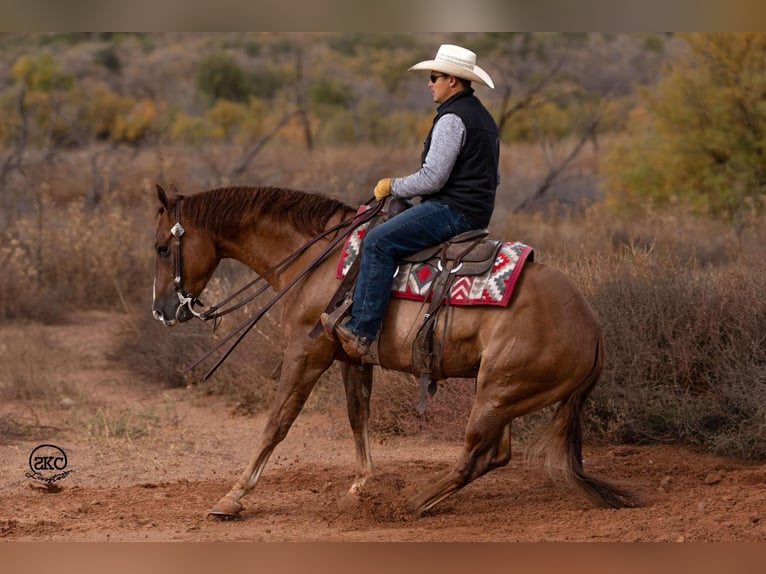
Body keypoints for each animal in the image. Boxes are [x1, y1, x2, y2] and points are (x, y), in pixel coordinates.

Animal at [152, 187, 636, 520]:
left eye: (161, 247)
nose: (162, 311)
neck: (317, 259)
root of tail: (594, 330)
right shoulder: (352, 358)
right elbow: (357, 416)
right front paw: (362, 486)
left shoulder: (306, 352)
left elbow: (277, 423)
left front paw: (232, 497)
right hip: (505, 396)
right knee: (495, 455)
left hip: (496, 393)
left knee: (474, 456)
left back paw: (412, 502)